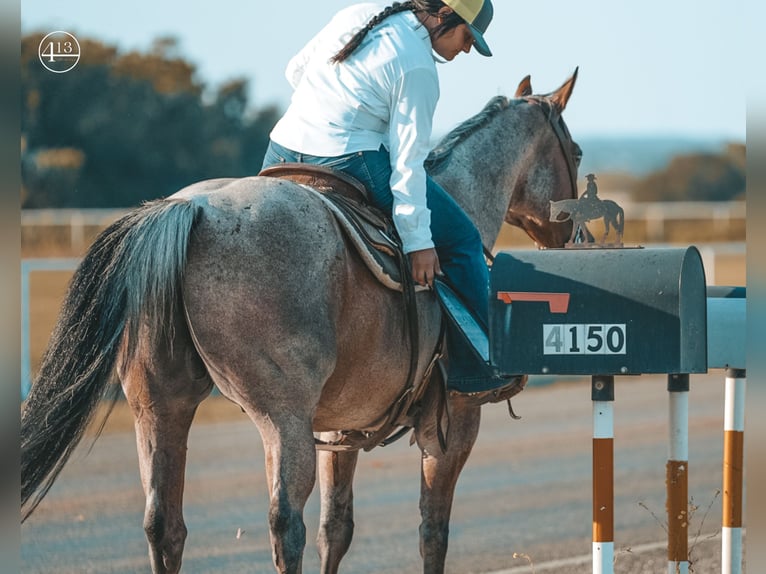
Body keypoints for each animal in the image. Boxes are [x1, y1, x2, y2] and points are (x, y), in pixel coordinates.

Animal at [21, 72, 584, 574]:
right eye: (576, 154)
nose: (575, 238)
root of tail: (188, 209)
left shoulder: (340, 428)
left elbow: (336, 529)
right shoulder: (451, 429)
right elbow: (432, 531)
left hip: (159, 405)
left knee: (165, 526)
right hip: (280, 418)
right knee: (284, 525)